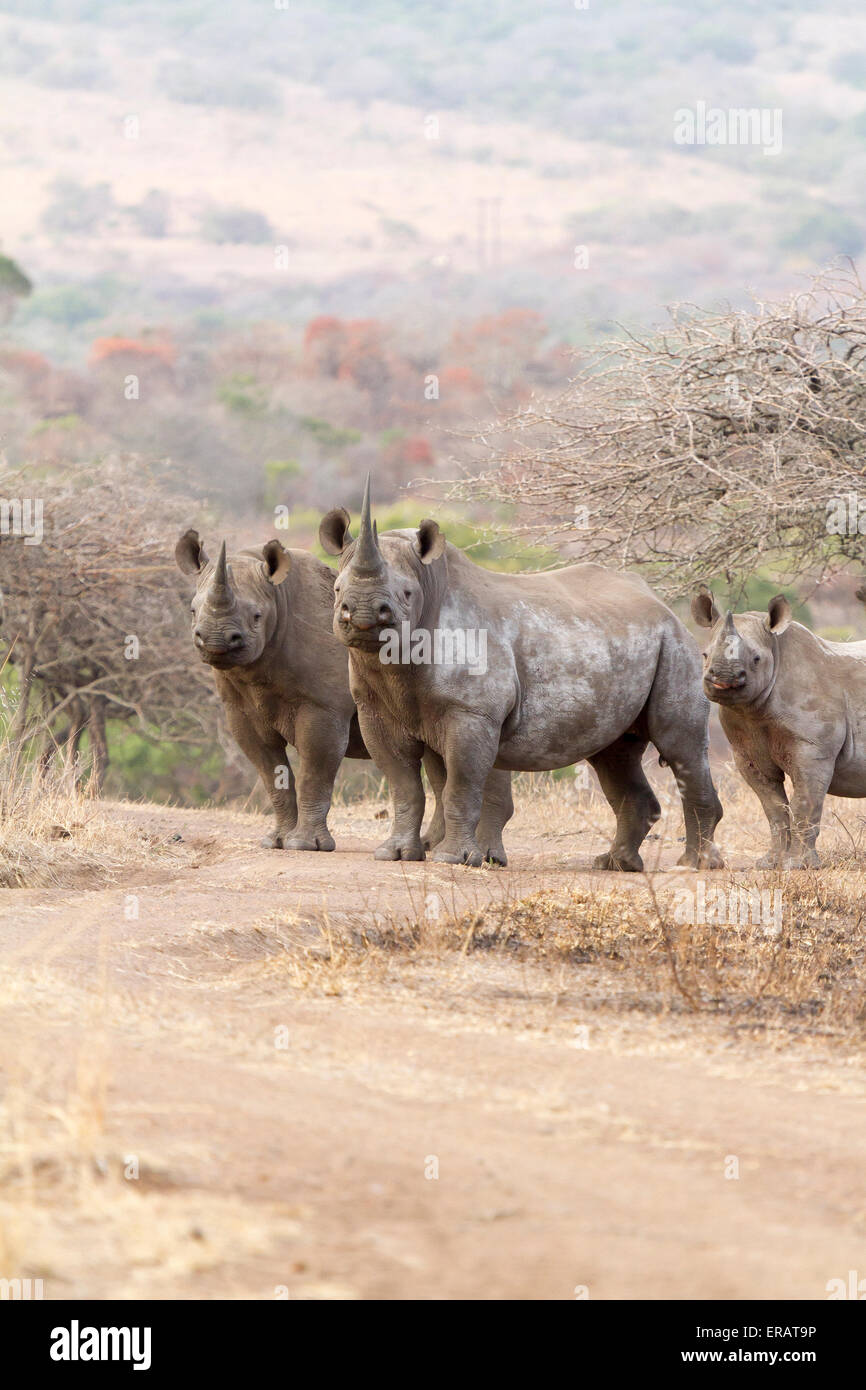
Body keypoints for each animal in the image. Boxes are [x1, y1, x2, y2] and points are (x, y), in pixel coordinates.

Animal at [177, 530, 514, 856]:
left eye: (257, 616)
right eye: (192, 610)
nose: (215, 640)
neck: (277, 599)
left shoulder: (323, 707)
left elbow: (314, 771)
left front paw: (305, 845)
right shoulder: (239, 709)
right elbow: (271, 774)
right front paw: (276, 841)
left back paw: (485, 856)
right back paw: (434, 846)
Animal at [319, 480, 722, 867]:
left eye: (406, 593)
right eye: (337, 588)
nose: (364, 613)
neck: (429, 587)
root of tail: (662, 605)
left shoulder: (471, 713)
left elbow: (460, 785)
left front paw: (453, 859)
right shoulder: (376, 711)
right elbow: (403, 784)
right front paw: (396, 854)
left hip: (677, 646)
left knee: (681, 746)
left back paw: (694, 865)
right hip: (626, 638)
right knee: (615, 754)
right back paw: (615, 863)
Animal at [695, 589, 866, 867]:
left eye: (757, 659)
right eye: (704, 655)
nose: (723, 679)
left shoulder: (813, 750)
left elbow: (804, 804)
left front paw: (798, 866)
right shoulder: (746, 748)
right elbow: (773, 807)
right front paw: (769, 863)